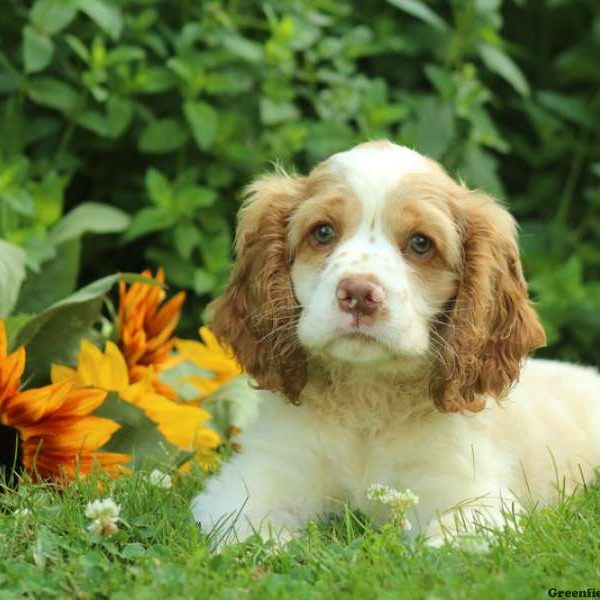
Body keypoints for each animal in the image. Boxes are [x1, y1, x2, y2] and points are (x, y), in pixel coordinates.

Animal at [191, 142, 600, 548]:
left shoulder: (470, 498)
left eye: (421, 243)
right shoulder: (255, 478)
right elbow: (251, 533)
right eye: (322, 232)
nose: (358, 294)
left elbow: (443, 545)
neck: (367, 399)